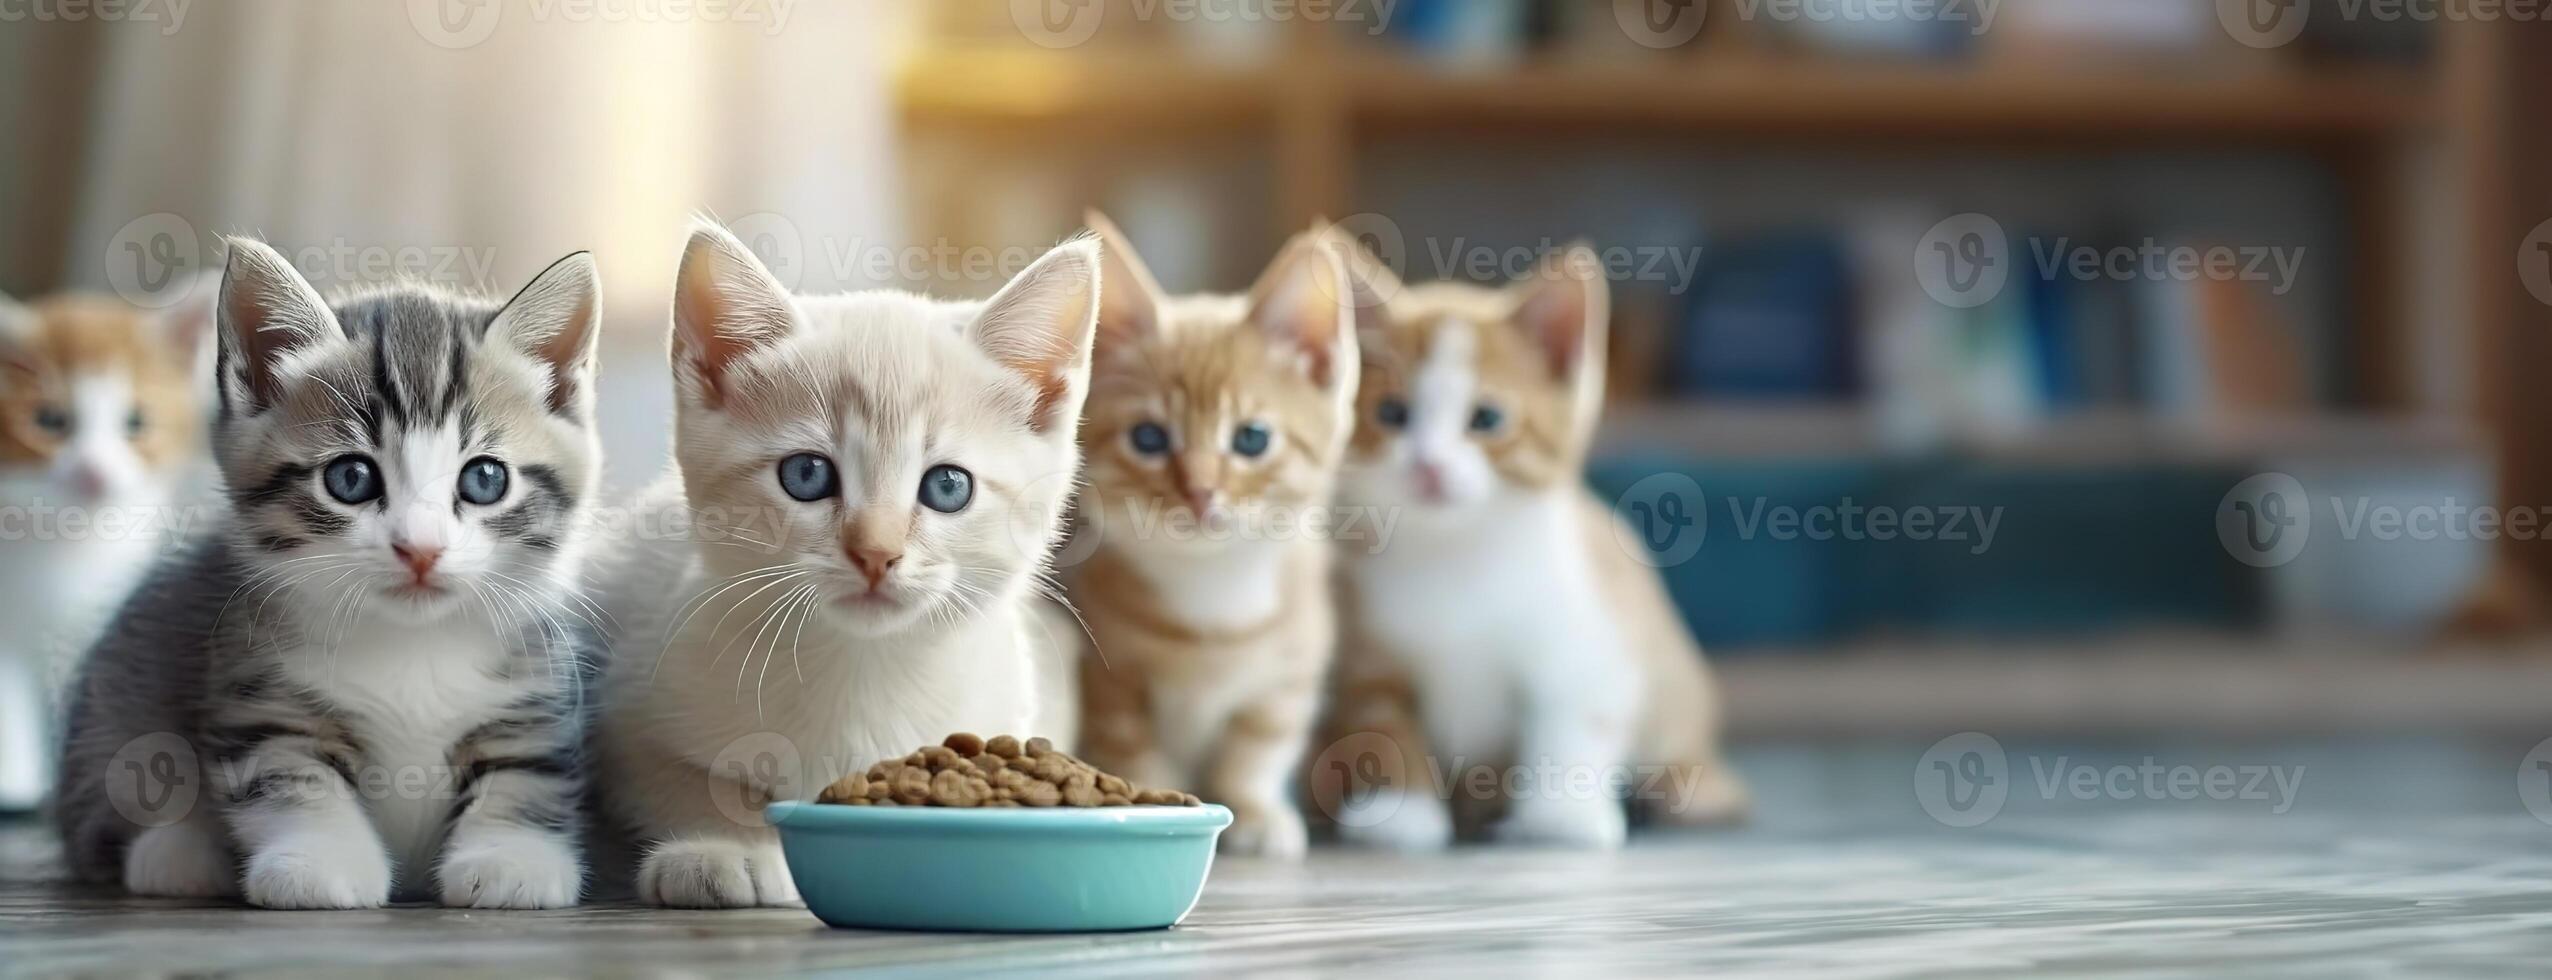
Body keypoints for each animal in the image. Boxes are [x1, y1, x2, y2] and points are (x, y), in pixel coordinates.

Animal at [52, 239, 609, 908]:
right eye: (351, 478)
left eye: (484, 478)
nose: (420, 549)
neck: (412, 645)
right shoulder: (260, 687)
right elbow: (290, 775)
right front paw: (318, 859)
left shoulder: (535, 693)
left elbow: (526, 776)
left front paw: (510, 859)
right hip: (116, 701)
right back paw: (179, 852)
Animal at [602, 219, 1102, 903]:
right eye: (807, 475)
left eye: (949, 486)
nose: (876, 552)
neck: (866, 670)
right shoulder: (629, 706)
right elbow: (684, 779)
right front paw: (725, 849)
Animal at [1071, 211, 1367, 857]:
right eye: (1149, 438)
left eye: (1252, 439)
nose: (1202, 492)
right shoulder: (1107, 679)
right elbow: (1132, 745)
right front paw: (1153, 799)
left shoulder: (1290, 667)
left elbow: (1255, 746)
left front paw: (1254, 808)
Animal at [1306, 239, 1745, 847]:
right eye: (1391, 413)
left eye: (1486, 418)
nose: (1429, 466)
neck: (1454, 553)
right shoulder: (1366, 656)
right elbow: (1382, 725)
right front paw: (1399, 809)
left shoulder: (1590, 640)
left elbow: (1575, 718)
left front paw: (1561, 818)